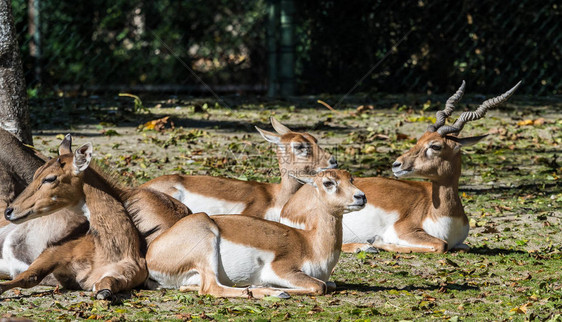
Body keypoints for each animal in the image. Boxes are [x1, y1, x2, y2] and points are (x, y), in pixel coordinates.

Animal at [0, 142, 148, 298]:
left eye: (50, 178)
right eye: (35, 174)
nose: (9, 212)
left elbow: (105, 288)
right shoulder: (54, 251)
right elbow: (29, 276)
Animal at [143, 170, 364, 298]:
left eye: (351, 179)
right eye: (328, 182)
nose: (361, 196)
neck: (310, 243)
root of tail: (151, 253)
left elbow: (330, 283)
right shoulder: (282, 269)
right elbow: (320, 286)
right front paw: (275, 288)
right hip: (207, 243)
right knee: (211, 288)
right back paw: (273, 292)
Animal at [342, 81, 520, 254]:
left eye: (435, 146)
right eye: (420, 139)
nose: (396, 164)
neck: (444, 217)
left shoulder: (460, 243)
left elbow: (462, 246)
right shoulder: (403, 230)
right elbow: (441, 245)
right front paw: (376, 241)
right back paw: (363, 247)